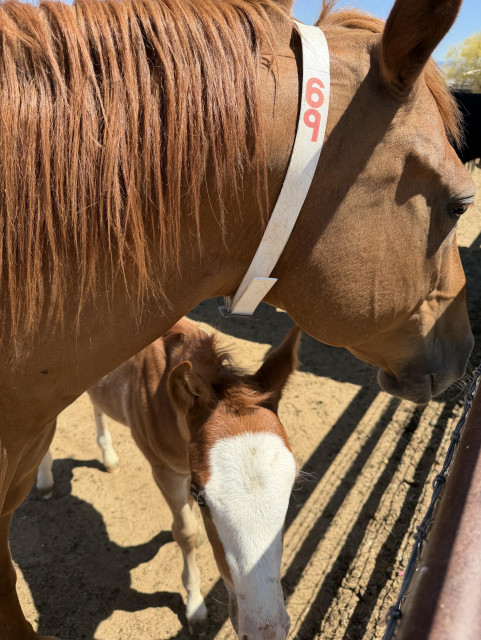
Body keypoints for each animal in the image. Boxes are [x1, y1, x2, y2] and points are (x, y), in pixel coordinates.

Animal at [36, 318, 300, 638]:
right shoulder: (165, 471)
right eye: (201, 496)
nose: (265, 629)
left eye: (291, 489)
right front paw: (195, 608)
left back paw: (108, 456)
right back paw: (45, 480)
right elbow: (185, 532)